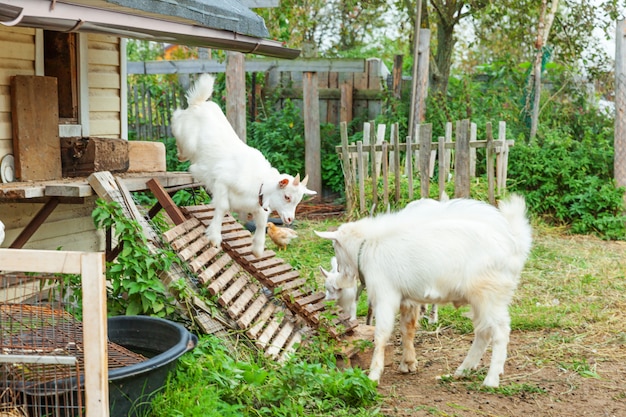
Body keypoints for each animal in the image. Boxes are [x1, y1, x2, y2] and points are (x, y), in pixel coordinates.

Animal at [171, 75, 314, 256]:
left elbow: (261, 223)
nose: (289, 219)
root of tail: (199, 103)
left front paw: (257, 249)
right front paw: (215, 238)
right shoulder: (221, 183)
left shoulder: (257, 206)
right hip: (185, 137)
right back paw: (180, 155)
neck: (258, 183)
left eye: (298, 200)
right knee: (176, 121)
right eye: (287, 196)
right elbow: (223, 207)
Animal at [314, 195, 528, 386]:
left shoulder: (386, 295)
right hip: (480, 300)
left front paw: (374, 375)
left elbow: (381, 334)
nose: (341, 279)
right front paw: (408, 364)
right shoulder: (407, 299)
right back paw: (462, 371)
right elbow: (407, 329)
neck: (368, 245)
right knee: (483, 332)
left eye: (335, 246)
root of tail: (514, 248)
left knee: (500, 332)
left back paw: (491, 380)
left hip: (489, 295)